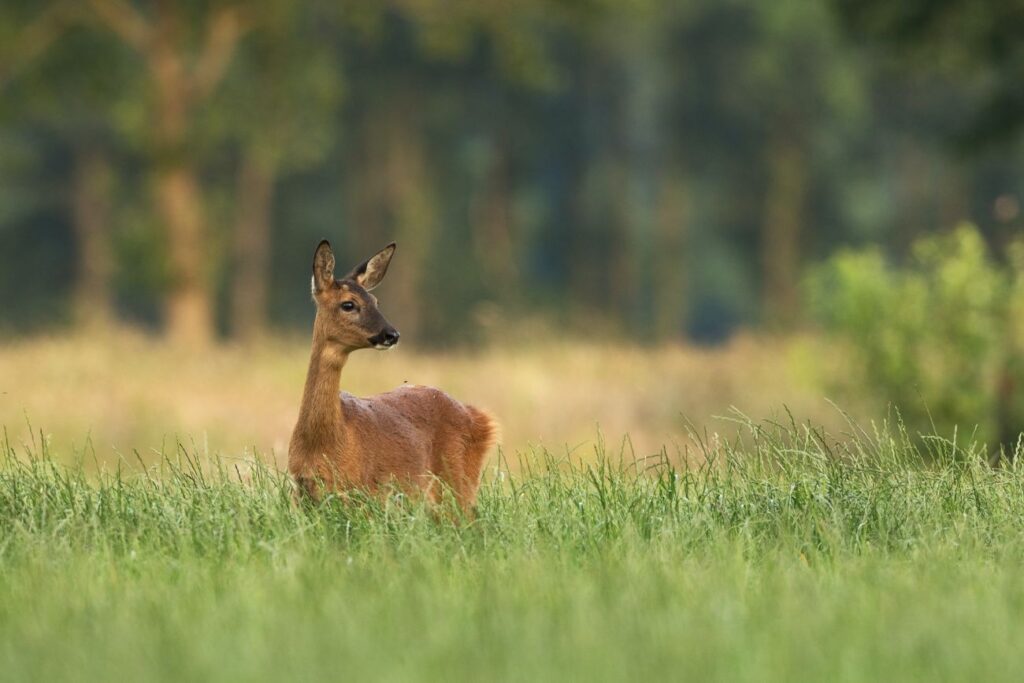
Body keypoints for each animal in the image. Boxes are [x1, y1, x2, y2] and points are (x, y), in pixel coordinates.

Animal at [288, 240, 499, 511]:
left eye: (376, 301)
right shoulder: (301, 492)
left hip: (458, 482)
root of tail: (478, 416)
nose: (391, 334)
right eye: (348, 304)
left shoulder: (363, 493)